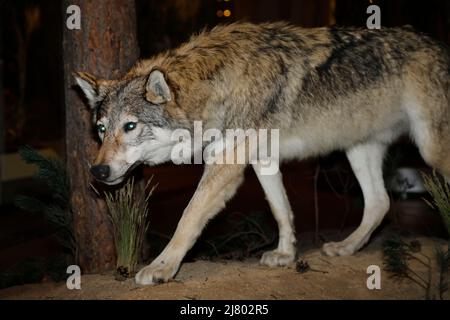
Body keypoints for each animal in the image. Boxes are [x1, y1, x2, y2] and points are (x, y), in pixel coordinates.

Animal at [74, 21, 450, 284]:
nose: (98, 172)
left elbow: (189, 217)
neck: (218, 83)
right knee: (379, 203)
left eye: (131, 126)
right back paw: (345, 247)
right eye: (102, 129)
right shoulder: (262, 159)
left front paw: (161, 268)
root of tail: (439, 44)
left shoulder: (226, 165)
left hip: (430, 149)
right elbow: (281, 209)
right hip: (358, 150)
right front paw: (285, 254)